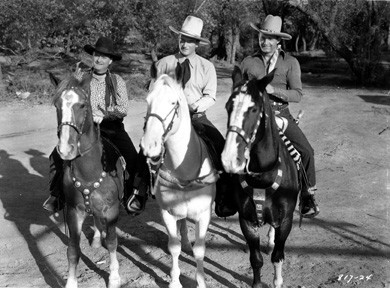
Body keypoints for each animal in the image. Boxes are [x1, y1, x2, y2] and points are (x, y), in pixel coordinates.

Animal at [51, 75, 124, 288]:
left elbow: (112, 242)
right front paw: (71, 282)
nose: (66, 149)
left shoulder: (112, 210)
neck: (90, 171)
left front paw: (114, 277)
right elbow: (73, 249)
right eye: (56, 105)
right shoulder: (73, 211)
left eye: (82, 105)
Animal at [141, 64, 219, 288]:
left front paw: (200, 282)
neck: (183, 170)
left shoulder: (204, 214)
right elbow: (173, 246)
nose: (149, 145)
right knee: (182, 225)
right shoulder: (167, 212)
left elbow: (200, 250)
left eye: (174, 102)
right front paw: (175, 281)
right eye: (148, 100)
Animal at [221, 67, 300, 288]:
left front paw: (278, 281)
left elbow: (278, 256)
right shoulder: (247, 221)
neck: (262, 177)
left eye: (254, 109)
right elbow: (256, 259)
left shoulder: (286, 221)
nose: (230, 159)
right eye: (228, 107)